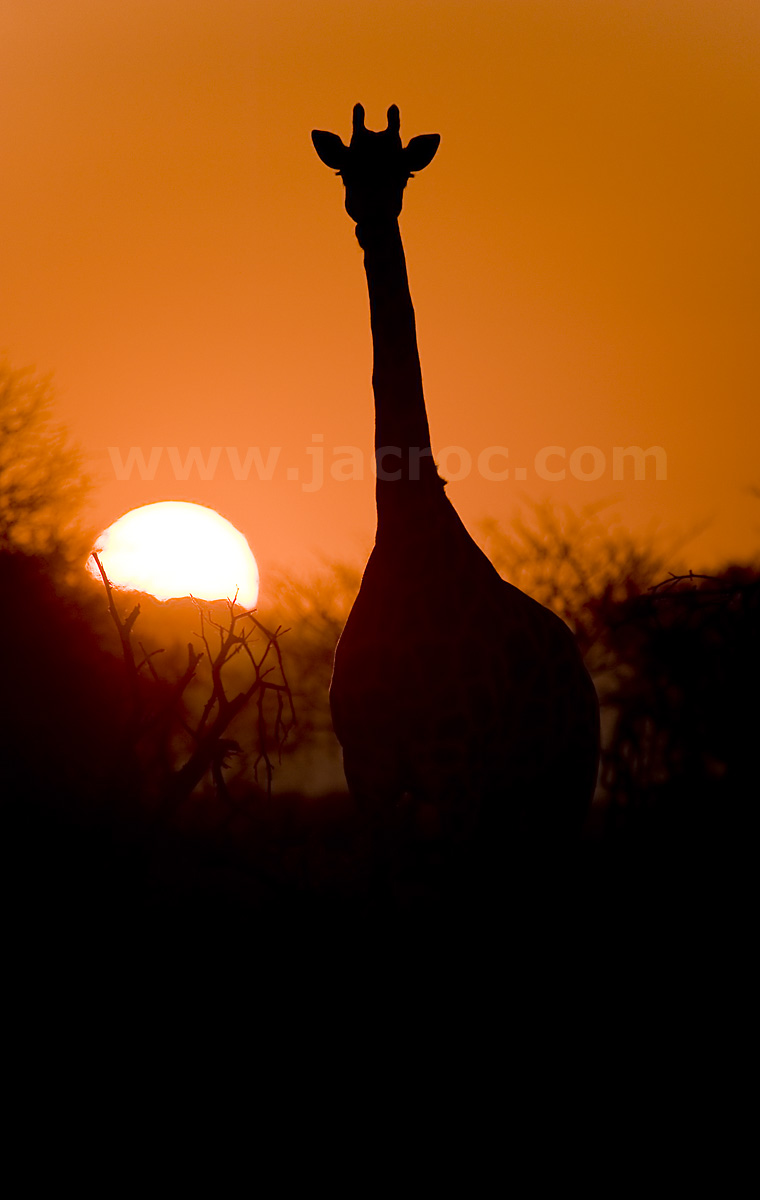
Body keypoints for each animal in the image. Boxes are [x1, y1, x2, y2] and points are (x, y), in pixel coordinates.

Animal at [312, 104, 599, 864]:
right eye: (347, 168)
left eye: (404, 171)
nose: (370, 211)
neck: (405, 533)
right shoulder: (370, 773)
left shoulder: (456, 773)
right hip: (511, 800)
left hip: (565, 786)